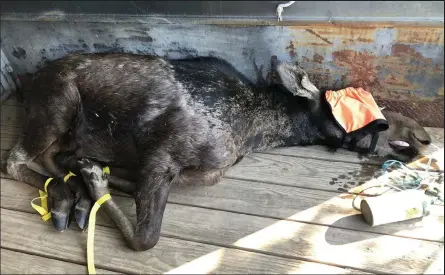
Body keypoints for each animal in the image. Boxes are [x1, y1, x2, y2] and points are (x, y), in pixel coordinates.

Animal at [6, 52, 430, 252]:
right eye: (361, 109)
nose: (423, 136)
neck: (255, 131)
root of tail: (29, 84)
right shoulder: (164, 153)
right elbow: (146, 238)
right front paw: (94, 180)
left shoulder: (199, 171)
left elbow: (128, 182)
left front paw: (92, 174)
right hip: (58, 107)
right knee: (14, 160)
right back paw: (70, 195)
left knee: (49, 157)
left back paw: (71, 196)